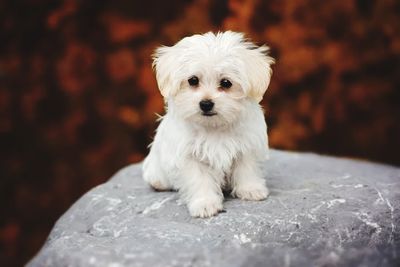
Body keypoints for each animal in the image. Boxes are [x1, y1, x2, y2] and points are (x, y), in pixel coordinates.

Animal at [144, 31, 276, 219]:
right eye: (193, 80)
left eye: (226, 83)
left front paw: (251, 189)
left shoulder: (246, 145)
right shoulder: (189, 156)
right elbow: (199, 180)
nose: (206, 104)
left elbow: (246, 168)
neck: (214, 127)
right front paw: (205, 203)